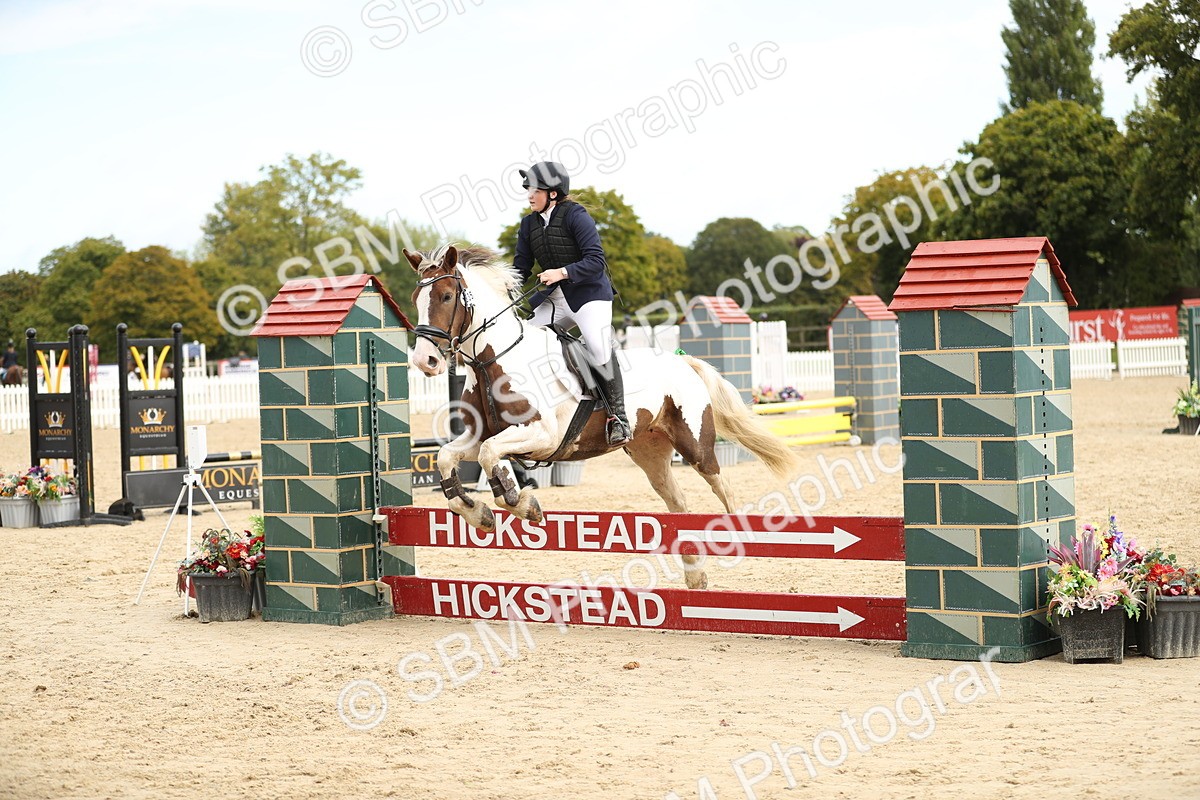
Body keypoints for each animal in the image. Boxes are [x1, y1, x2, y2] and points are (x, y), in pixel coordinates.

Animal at [406, 244, 800, 589]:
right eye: (415, 301)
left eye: (446, 297)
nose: (426, 361)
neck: (495, 361)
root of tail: (682, 360)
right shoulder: (478, 437)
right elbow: (448, 457)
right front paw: (479, 512)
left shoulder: (542, 435)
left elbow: (491, 456)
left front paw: (524, 505)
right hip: (649, 453)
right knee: (678, 502)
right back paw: (695, 576)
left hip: (696, 446)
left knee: (724, 488)